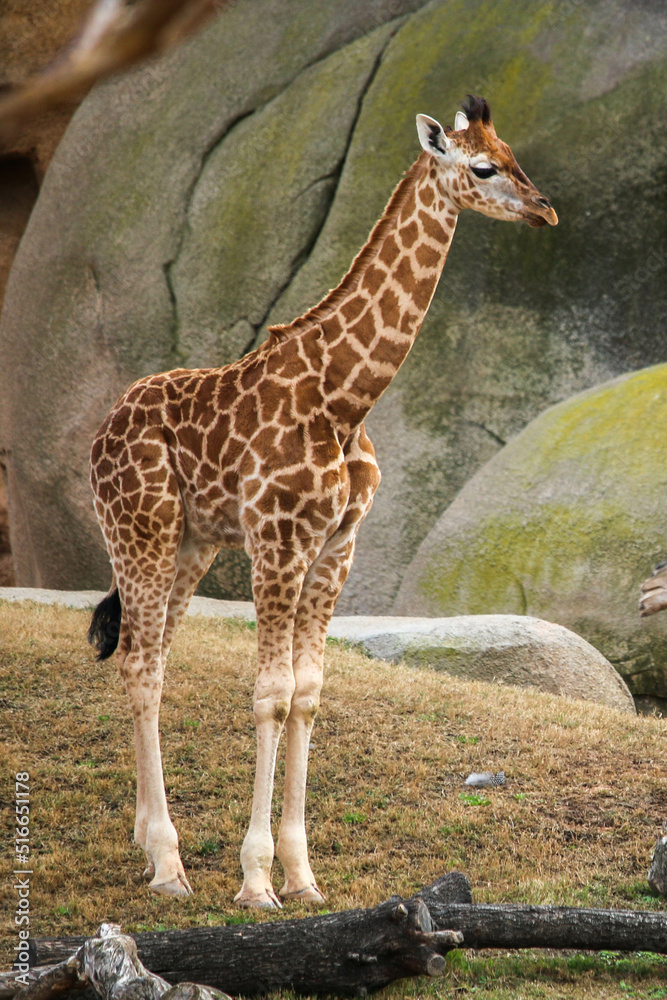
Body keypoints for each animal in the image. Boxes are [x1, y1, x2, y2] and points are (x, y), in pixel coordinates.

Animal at [89, 95, 557, 907]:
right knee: (142, 663)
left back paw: (149, 845)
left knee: (150, 658)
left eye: (512, 156)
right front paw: (255, 881)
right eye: (481, 167)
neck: (346, 396)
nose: (545, 210)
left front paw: (303, 877)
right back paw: (171, 866)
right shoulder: (278, 540)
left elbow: (307, 694)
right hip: (140, 530)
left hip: (188, 545)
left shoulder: (338, 545)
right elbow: (270, 694)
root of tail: (99, 436)